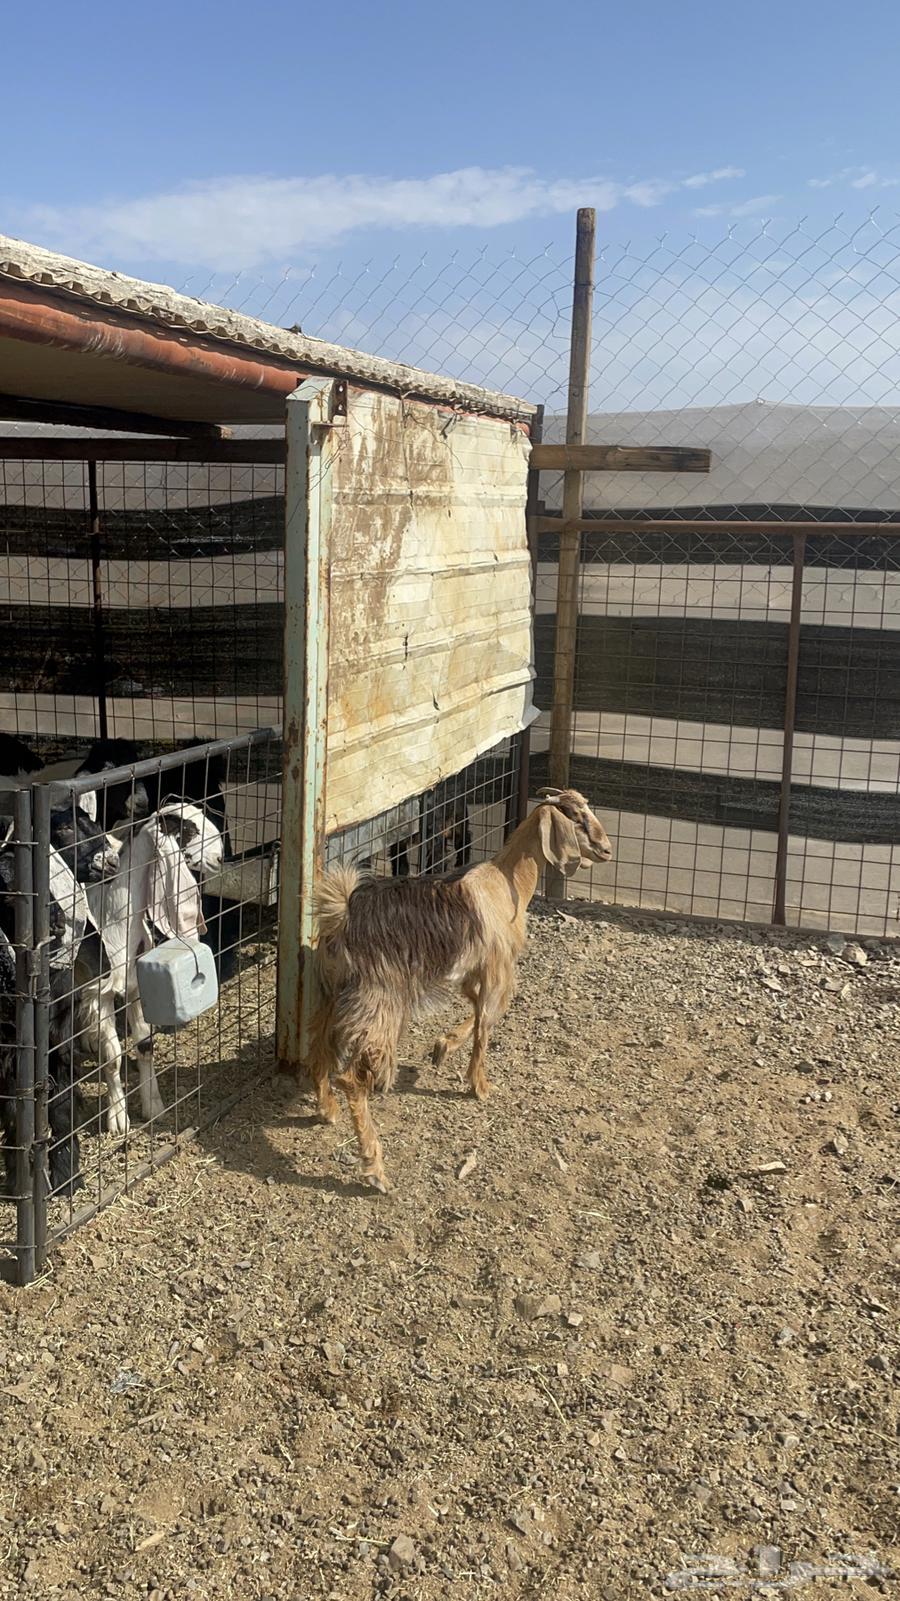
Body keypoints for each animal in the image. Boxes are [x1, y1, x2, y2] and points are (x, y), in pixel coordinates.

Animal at [305, 788, 612, 1191]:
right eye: (577, 818)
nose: (607, 849)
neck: (506, 886)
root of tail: (342, 918)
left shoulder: (471, 971)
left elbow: (476, 1010)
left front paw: (442, 1047)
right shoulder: (498, 970)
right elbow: (486, 1024)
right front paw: (479, 1085)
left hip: (331, 991)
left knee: (319, 1047)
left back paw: (327, 1109)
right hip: (380, 1000)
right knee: (352, 1078)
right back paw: (375, 1168)